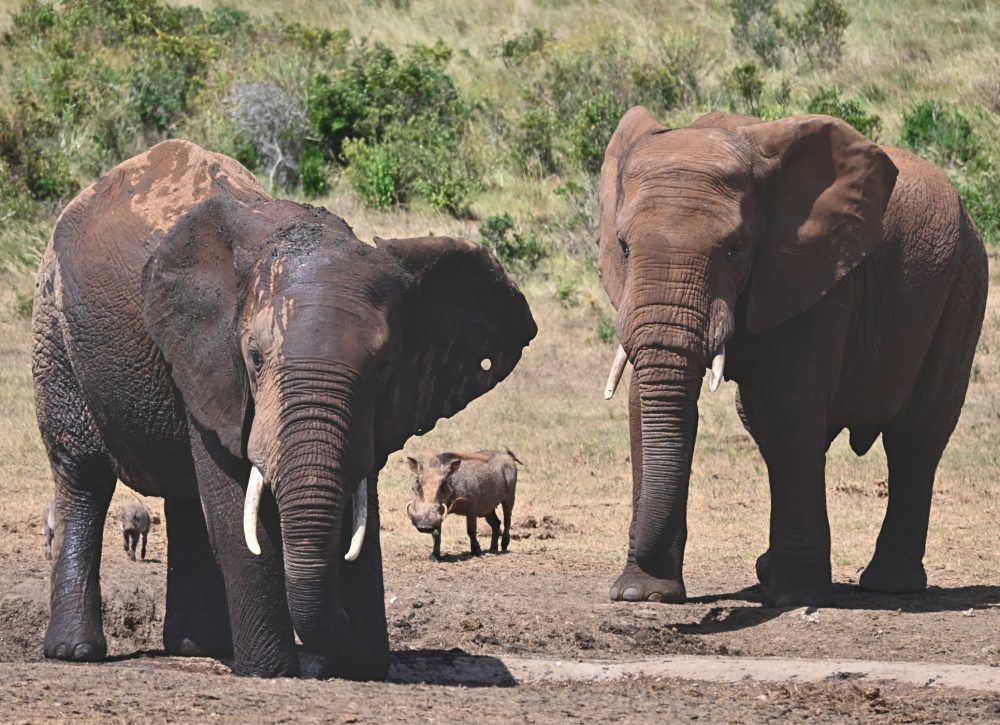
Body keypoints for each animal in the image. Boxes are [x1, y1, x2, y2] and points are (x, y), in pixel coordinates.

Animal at [32, 139, 536, 677]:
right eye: (254, 358)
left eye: (384, 365)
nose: (339, 636)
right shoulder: (212, 362)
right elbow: (235, 503)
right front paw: (272, 671)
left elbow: (358, 501)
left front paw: (364, 666)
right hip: (53, 327)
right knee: (83, 475)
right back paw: (77, 652)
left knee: (184, 497)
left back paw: (198, 647)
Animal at [597, 107, 987, 608]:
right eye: (624, 247)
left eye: (735, 250)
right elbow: (642, 408)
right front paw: (640, 594)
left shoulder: (812, 272)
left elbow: (790, 407)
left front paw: (795, 595)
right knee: (770, 425)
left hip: (964, 284)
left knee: (916, 435)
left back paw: (887, 584)